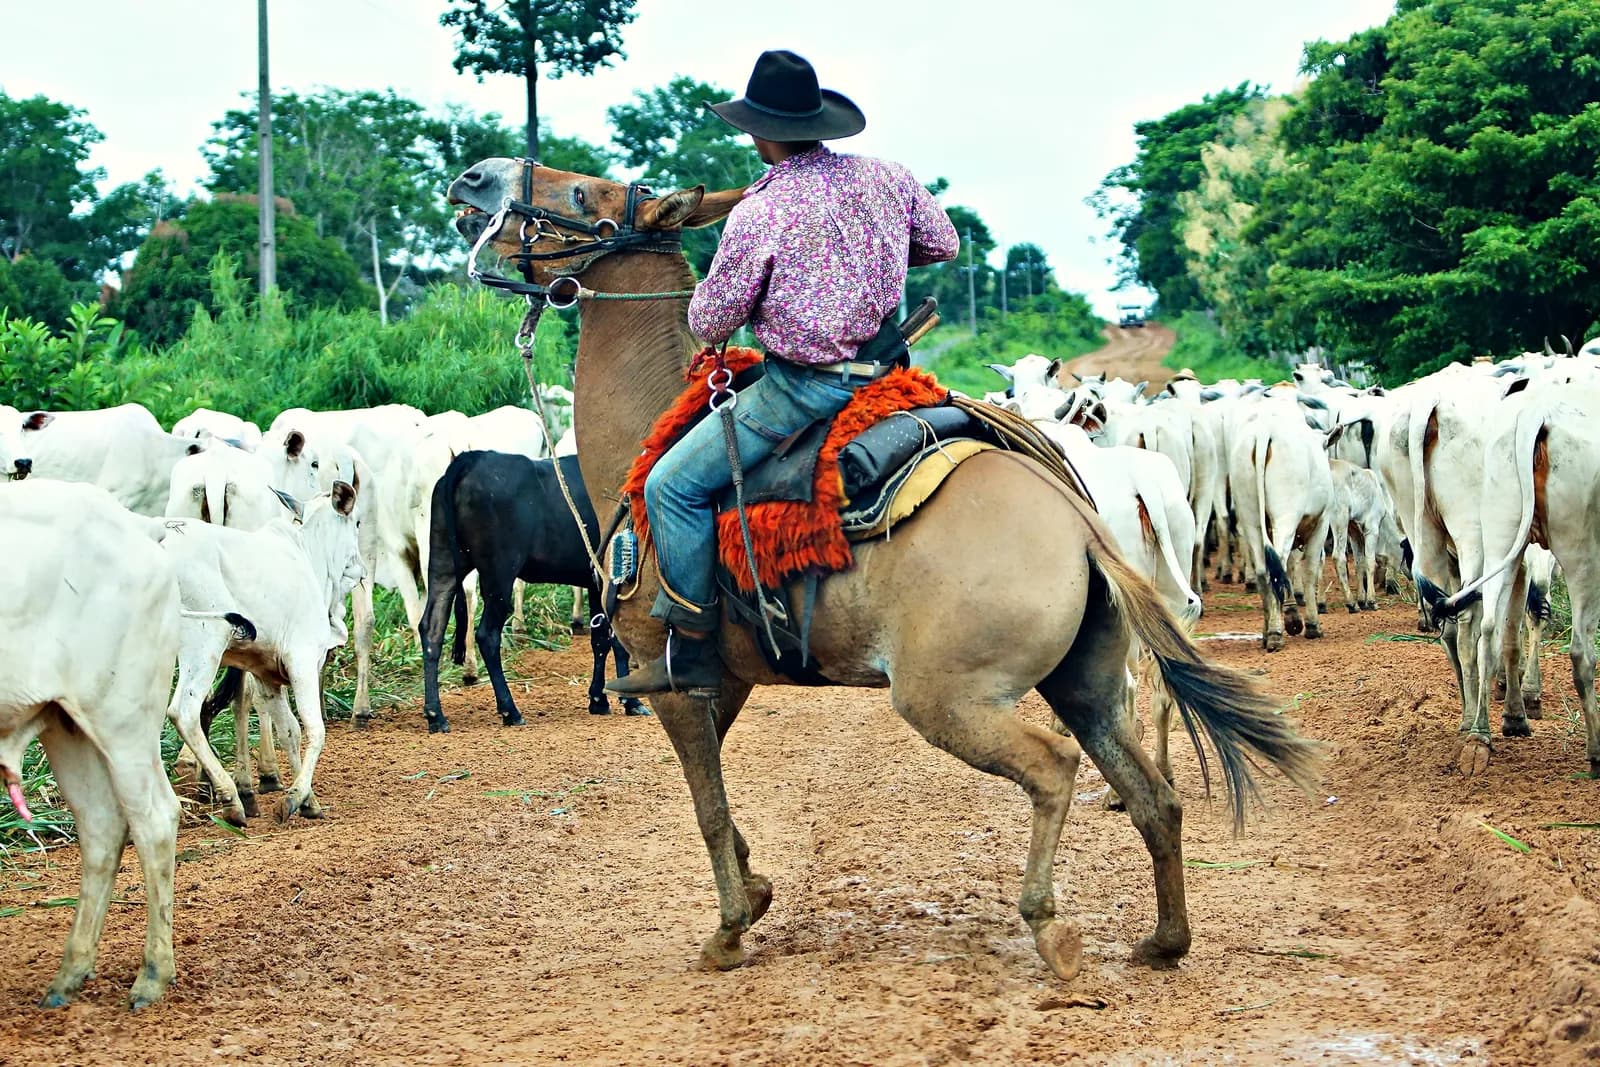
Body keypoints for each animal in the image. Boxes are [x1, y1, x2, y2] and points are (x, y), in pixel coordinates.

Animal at [445, 159, 1319, 981]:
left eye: (582, 195)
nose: (475, 178)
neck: (652, 430)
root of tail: (1077, 524)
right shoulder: (720, 679)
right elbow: (718, 795)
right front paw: (756, 889)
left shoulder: (672, 681)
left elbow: (706, 804)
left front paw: (729, 928)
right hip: (1086, 684)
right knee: (1153, 797)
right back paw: (1165, 938)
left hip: (947, 699)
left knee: (1054, 768)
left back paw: (1048, 922)